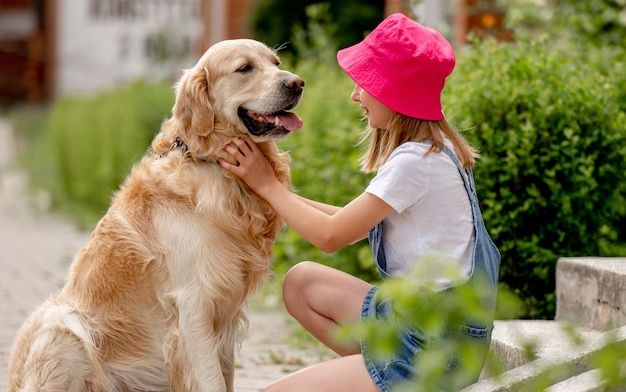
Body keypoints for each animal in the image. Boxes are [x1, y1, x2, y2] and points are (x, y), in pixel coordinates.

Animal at [7, 37, 304, 392]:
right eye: (245, 68)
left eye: (276, 63)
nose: (298, 83)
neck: (209, 162)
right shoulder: (193, 304)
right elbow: (212, 380)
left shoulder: (226, 314)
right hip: (62, 322)